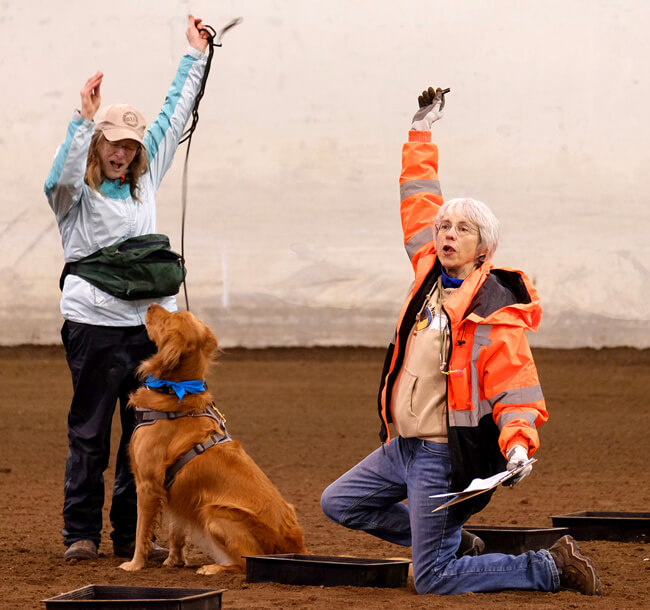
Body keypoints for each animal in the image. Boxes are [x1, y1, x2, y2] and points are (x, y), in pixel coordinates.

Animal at [119, 303, 307, 574]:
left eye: (168, 319)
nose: (152, 305)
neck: (175, 394)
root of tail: (296, 545)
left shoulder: (147, 484)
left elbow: (140, 530)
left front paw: (134, 564)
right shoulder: (175, 492)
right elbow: (176, 530)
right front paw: (174, 561)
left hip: (215, 513)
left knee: (244, 563)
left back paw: (214, 568)